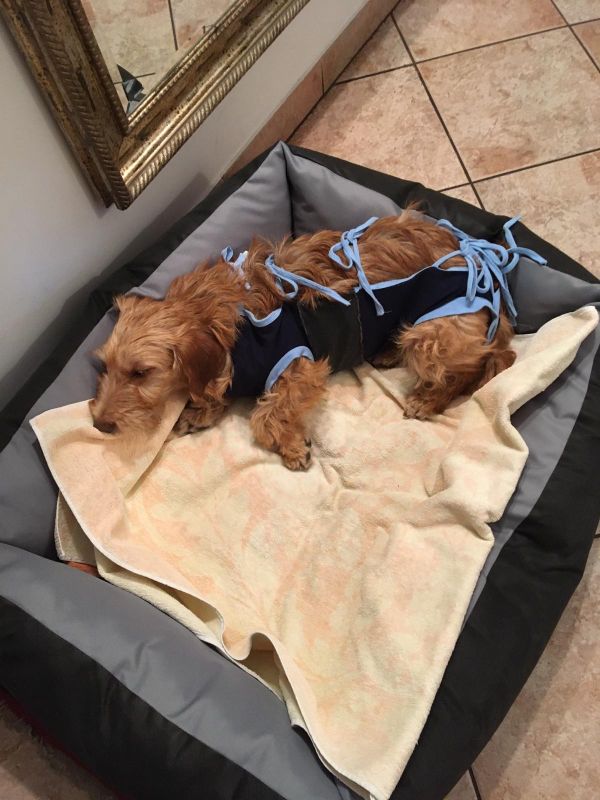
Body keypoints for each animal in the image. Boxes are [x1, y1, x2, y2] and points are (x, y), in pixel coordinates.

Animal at [91, 210, 520, 470]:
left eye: (141, 372)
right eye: (104, 366)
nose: (99, 424)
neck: (219, 317)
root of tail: (480, 259)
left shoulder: (301, 366)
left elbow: (264, 415)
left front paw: (291, 446)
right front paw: (200, 412)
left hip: (431, 333)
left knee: (477, 369)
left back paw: (428, 398)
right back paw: (386, 353)